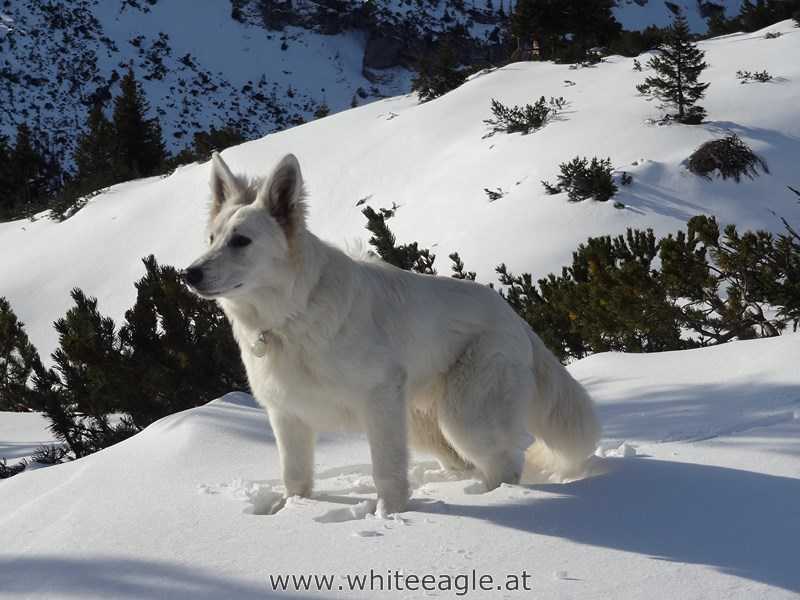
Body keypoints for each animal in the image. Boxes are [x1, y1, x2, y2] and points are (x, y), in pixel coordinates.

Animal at [186, 152, 600, 512]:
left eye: (241, 241)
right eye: (211, 238)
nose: (189, 274)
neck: (294, 310)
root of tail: (513, 315)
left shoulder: (379, 399)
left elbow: (386, 470)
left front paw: (390, 516)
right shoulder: (288, 416)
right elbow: (295, 477)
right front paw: (295, 512)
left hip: (466, 417)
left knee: (505, 461)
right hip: (422, 421)